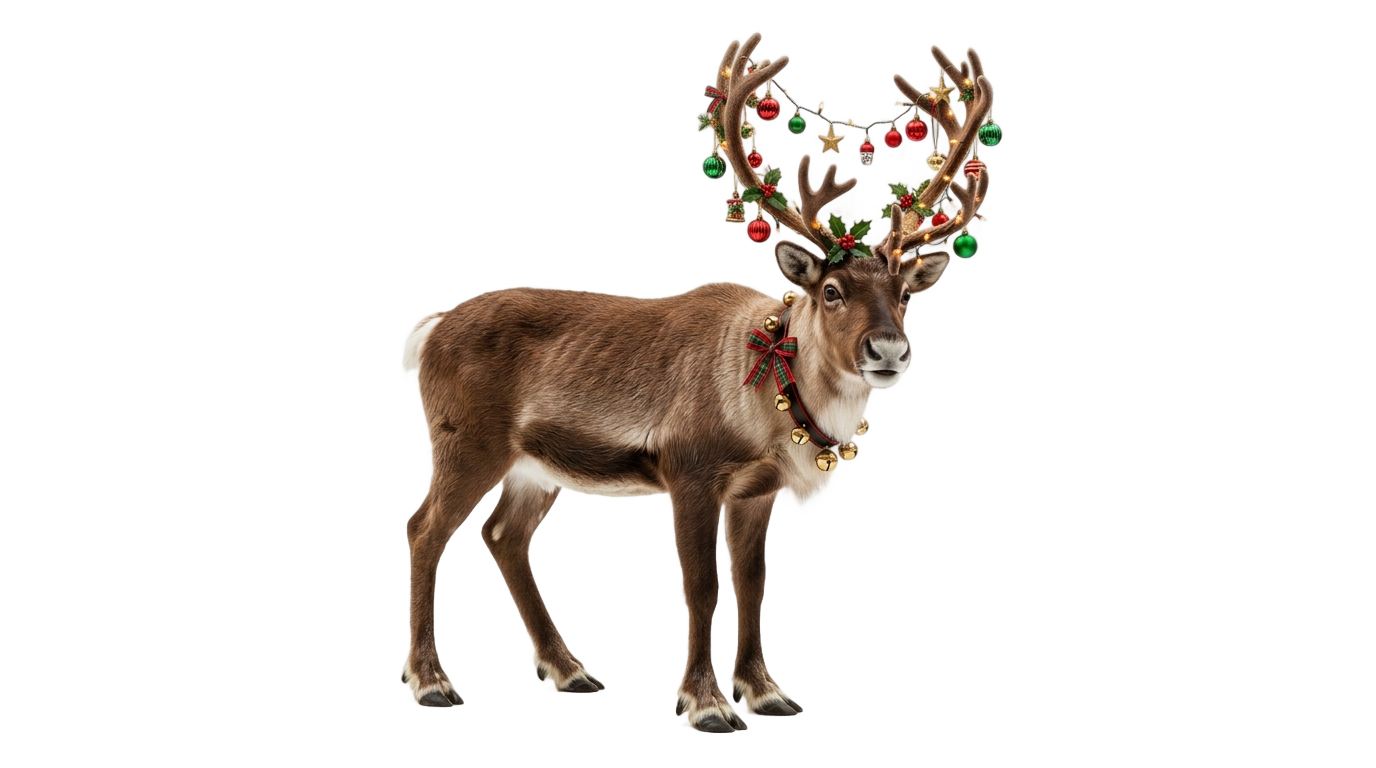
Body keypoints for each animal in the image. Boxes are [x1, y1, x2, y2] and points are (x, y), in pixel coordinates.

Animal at [396, 34, 994, 734]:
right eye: (831, 290)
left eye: (904, 294)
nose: (889, 349)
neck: (769, 402)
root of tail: (426, 331)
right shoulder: (689, 471)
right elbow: (701, 585)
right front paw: (705, 703)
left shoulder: (758, 490)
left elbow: (753, 584)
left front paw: (766, 693)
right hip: (467, 441)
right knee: (424, 529)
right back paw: (431, 683)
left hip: (532, 466)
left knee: (503, 536)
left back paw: (570, 672)